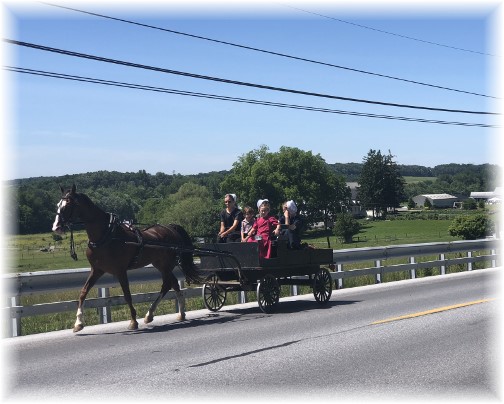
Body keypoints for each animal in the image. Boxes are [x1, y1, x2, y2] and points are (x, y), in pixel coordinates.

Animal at [52, 184, 205, 333]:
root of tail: (171, 228)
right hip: (161, 265)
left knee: (167, 284)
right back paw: (174, 313)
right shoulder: (97, 270)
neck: (106, 236)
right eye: (58, 204)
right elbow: (83, 292)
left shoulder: (120, 271)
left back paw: (155, 314)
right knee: (172, 284)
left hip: (166, 265)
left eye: (68, 204)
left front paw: (133, 322)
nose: (56, 227)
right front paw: (78, 323)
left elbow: (127, 294)